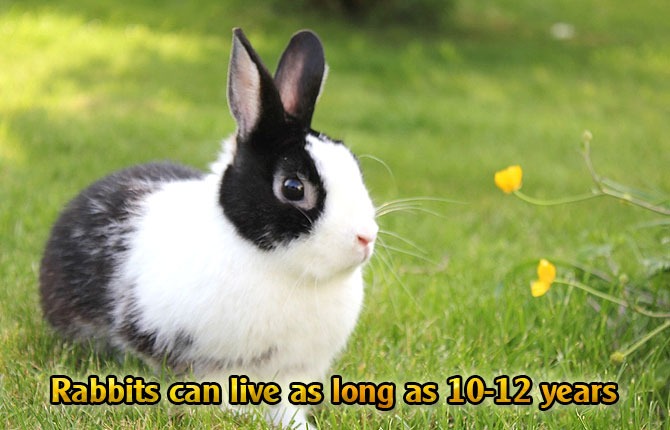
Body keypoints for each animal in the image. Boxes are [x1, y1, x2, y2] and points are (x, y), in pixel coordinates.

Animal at [39, 28, 378, 428]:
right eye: (293, 187)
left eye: (354, 164)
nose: (366, 237)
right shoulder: (200, 362)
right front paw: (241, 414)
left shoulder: (294, 372)